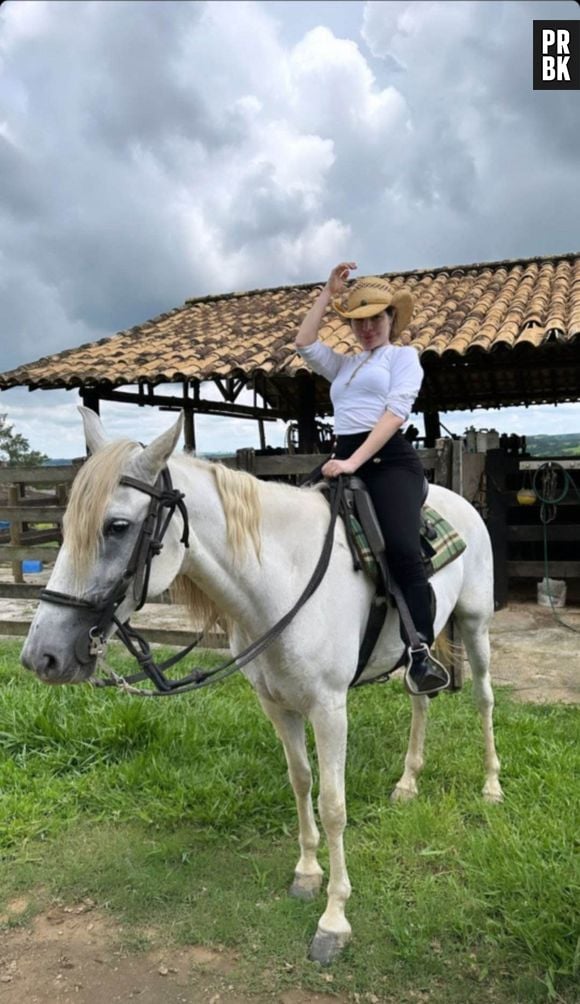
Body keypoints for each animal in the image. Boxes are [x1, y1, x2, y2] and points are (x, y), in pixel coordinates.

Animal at [22, 409, 499, 963]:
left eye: (116, 526)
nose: (42, 656)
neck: (283, 580)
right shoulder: (277, 705)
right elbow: (301, 782)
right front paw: (307, 873)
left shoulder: (329, 709)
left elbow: (333, 805)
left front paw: (334, 920)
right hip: (414, 652)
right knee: (420, 697)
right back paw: (408, 783)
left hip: (475, 625)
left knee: (483, 699)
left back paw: (491, 785)